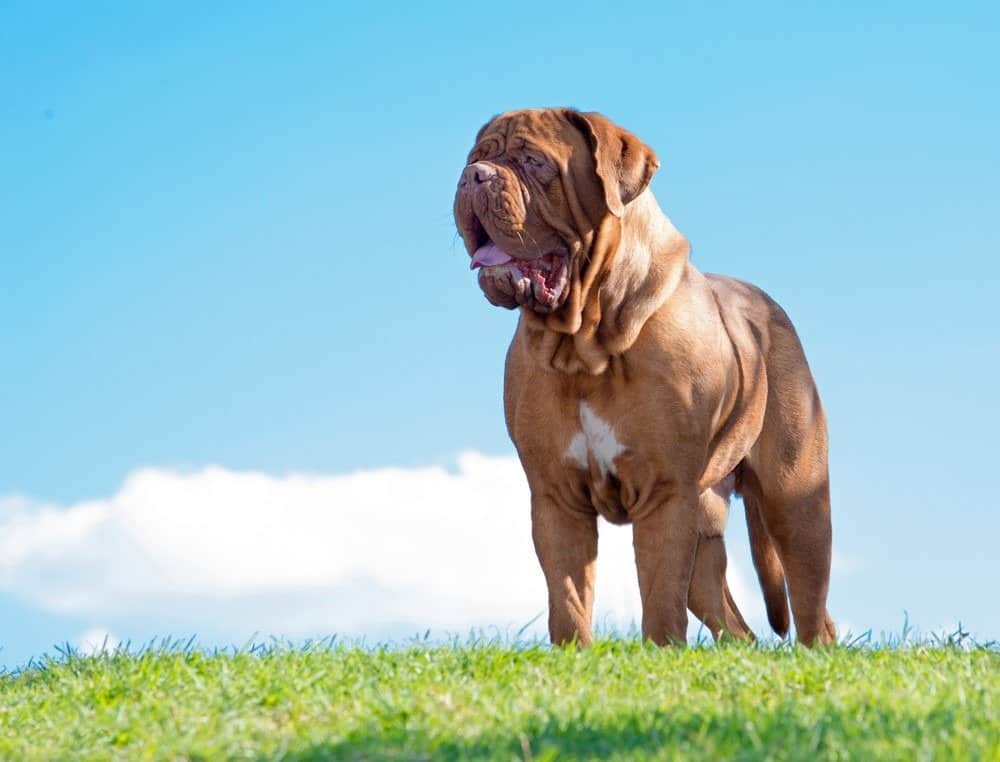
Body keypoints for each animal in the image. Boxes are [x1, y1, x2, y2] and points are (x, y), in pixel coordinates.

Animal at [454, 105, 836, 640]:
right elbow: (568, 601)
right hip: (707, 526)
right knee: (736, 626)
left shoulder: (663, 493)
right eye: (476, 157)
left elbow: (659, 600)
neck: (586, 343)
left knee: (813, 613)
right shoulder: (556, 498)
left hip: (796, 501)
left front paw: (660, 651)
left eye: (534, 162)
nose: (474, 176)